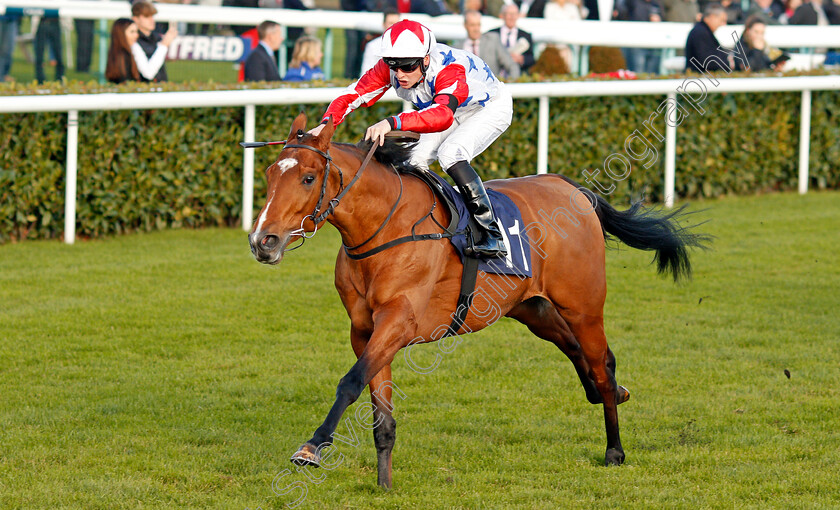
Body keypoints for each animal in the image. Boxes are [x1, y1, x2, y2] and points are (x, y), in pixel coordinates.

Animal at [248, 112, 708, 490]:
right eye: (269, 174)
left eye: (308, 178)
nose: (261, 241)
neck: (383, 229)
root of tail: (571, 188)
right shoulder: (365, 331)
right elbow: (380, 409)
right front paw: (384, 483)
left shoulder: (398, 323)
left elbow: (350, 382)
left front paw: (312, 447)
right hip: (534, 309)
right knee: (578, 352)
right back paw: (613, 393)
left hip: (583, 307)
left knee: (600, 361)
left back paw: (614, 448)